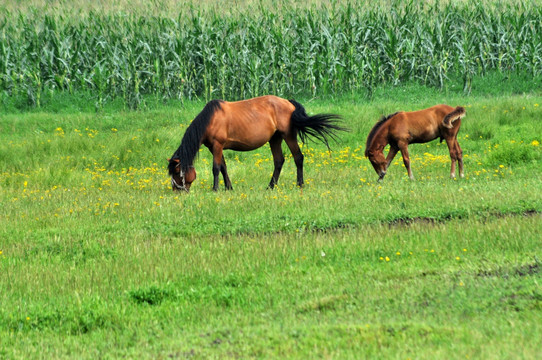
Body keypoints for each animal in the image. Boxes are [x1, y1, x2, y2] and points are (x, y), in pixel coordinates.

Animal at [168, 95, 346, 191]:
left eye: (177, 172)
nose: (177, 191)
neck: (210, 119)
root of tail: (288, 102)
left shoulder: (218, 146)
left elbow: (216, 168)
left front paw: (215, 189)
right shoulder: (215, 148)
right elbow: (224, 167)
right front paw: (229, 188)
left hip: (288, 135)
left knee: (298, 157)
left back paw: (299, 184)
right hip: (275, 139)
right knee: (279, 161)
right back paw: (270, 186)